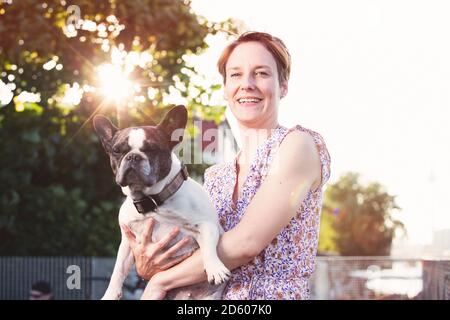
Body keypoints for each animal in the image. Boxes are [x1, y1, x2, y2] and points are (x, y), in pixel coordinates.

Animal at [93, 106, 230, 298]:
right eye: (117, 151)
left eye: (151, 149)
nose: (133, 157)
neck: (154, 201)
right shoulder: (128, 242)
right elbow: (118, 269)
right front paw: (110, 294)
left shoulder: (206, 224)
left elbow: (209, 247)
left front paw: (215, 269)